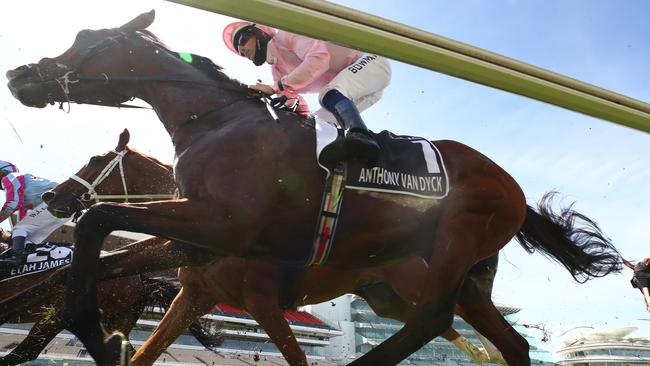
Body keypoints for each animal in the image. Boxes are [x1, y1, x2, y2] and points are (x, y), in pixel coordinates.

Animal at [45, 130, 502, 364]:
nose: (53, 195)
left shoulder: (262, 302)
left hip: (413, 286)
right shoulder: (195, 297)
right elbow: (147, 351)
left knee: (455, 314)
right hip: (383, 298)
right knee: (438, 324)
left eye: (94, 159)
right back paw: (485, 353)